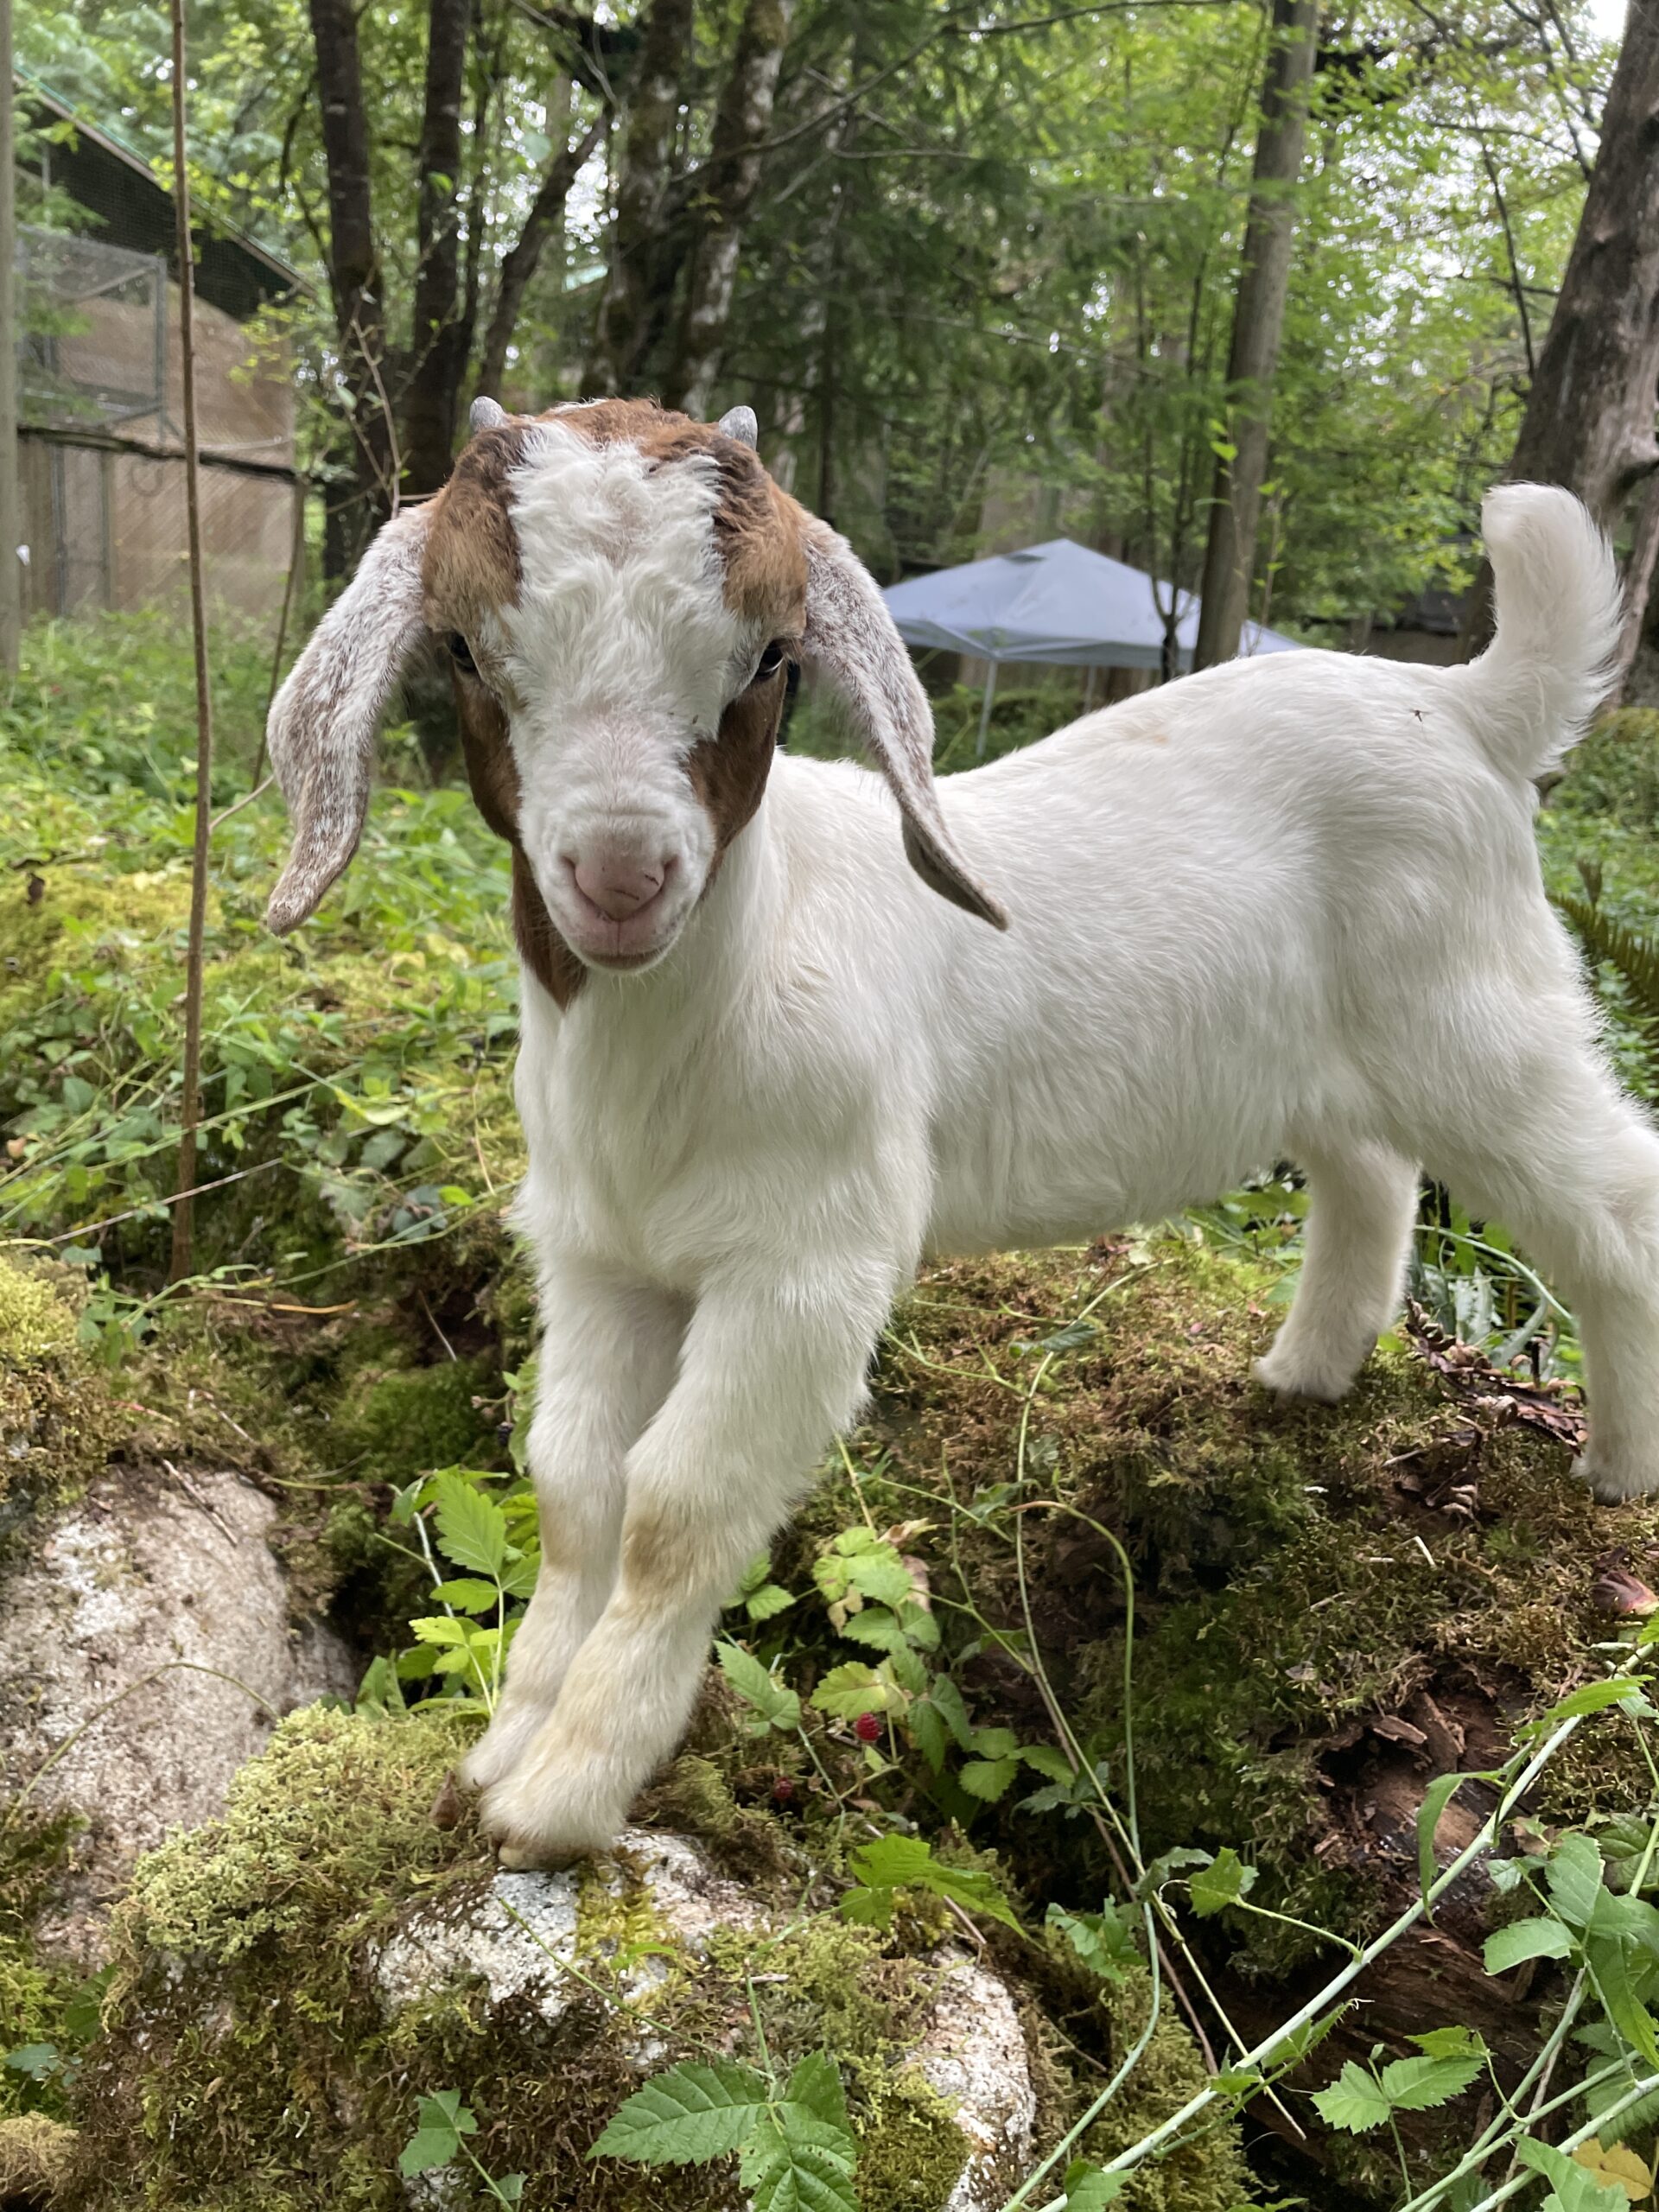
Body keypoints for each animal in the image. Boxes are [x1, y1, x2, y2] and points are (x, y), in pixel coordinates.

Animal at [266, 395, 1654, 1867]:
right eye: (467, 648)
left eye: (768, 656)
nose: (624, 875)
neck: (701, 1003)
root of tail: (1467, 708)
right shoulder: (598, 1261)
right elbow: (579, 1493)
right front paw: (498, 1754)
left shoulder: (806, 1269)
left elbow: (674, 1511)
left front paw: (567, 1794)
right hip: (1333, 1061)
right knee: (1373, 1178)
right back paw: (1305, 1375)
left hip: (1480, 1016)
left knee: (1615, 1200)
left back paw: (1622, 1469)